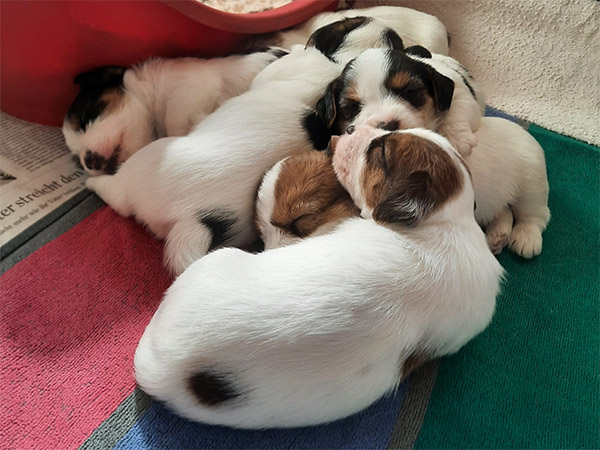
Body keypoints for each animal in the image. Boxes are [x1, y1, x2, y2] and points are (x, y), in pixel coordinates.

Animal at [306, 46, 484, 157]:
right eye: (352, 107)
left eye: (409, 92)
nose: (386, 126)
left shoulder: (460, 92)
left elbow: (457, 106)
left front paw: (455, 139)